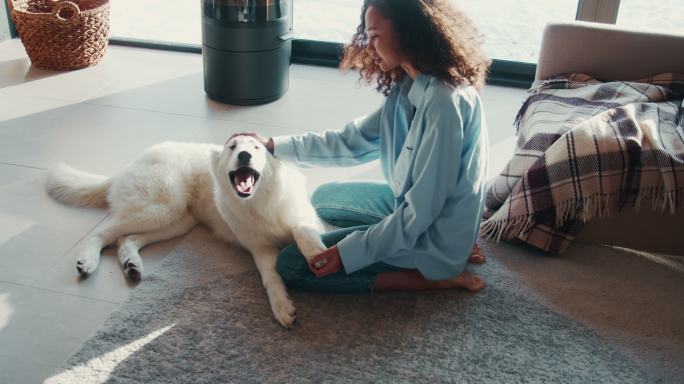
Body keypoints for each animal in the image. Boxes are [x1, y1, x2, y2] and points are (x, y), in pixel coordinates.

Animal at [46, 135, 328, 328]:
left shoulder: (302, 221)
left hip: (176, 220)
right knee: (103, 231)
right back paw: (88, 261)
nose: (245, 156)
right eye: (232, 147)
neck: (260, 201)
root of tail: (127, 167)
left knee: (127, 238)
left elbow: (301, 231)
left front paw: (315, 253)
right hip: (163, 207)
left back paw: (131, 265)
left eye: (257, 148)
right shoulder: (260, 248)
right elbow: (270, 278)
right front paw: (282, 306)